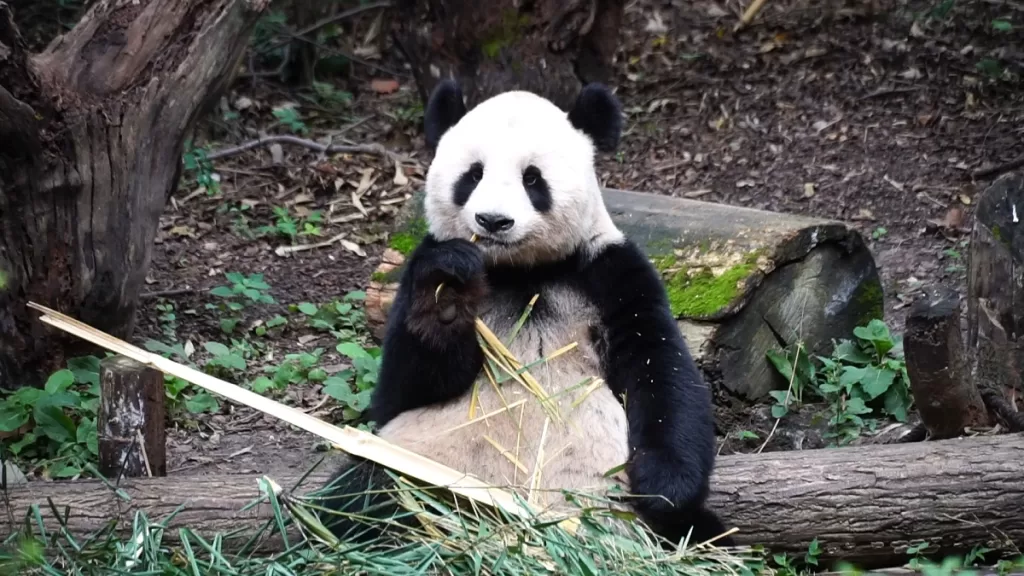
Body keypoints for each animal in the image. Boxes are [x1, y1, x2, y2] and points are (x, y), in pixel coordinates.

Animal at [318, 79, 732, 548]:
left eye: (532, 178)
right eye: (473, 175)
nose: (492, 221)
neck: (520, 271)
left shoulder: (608, 272)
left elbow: (660, 368)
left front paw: (664, 487)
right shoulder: (416, 275)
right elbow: (399, 393)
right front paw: (447, 296)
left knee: (700, 531)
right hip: (414, 466)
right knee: (356, 498)